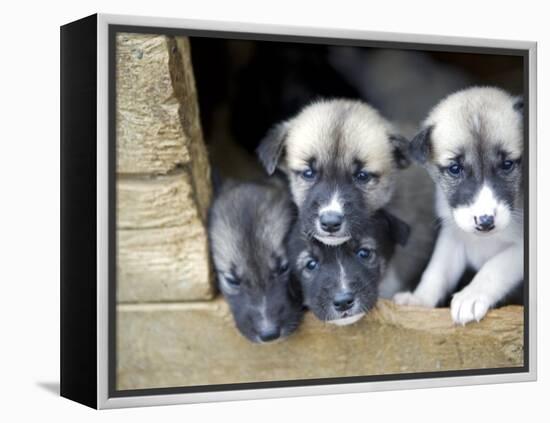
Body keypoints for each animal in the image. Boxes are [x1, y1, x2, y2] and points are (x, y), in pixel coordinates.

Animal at [396, 87, 528, 324]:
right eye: (455, 169)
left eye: (507, 164)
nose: (485, 222)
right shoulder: (453, 237)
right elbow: (437, 271)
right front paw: (419, 299)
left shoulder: (518, 250)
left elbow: (494, 267)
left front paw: (471, 296)